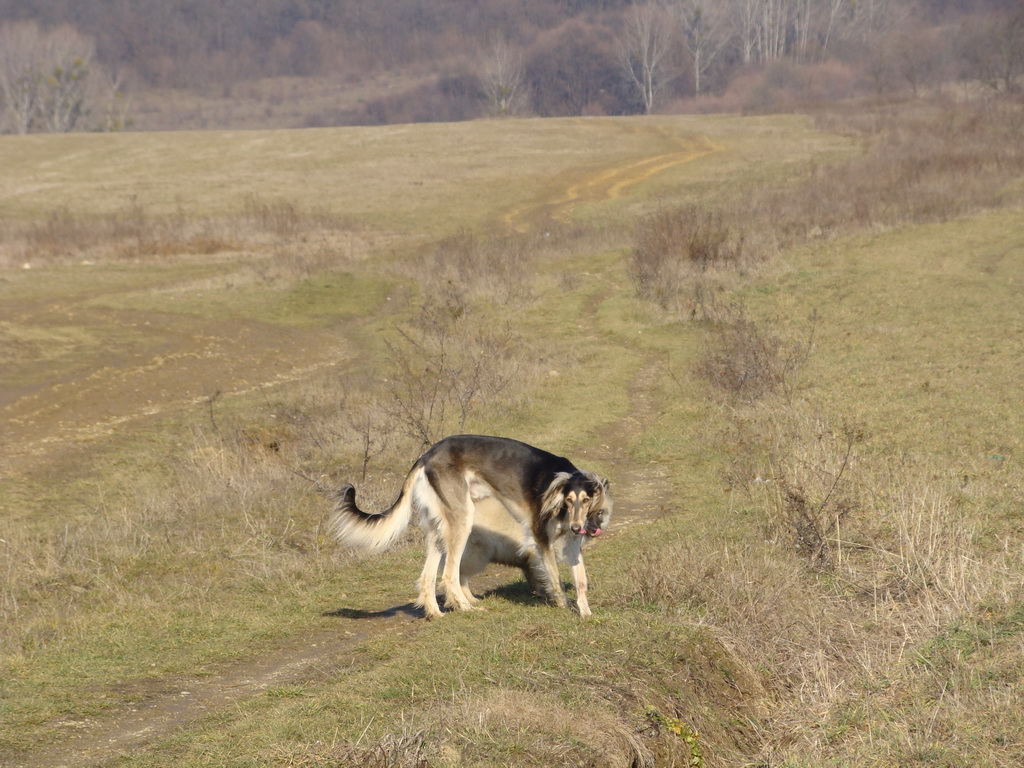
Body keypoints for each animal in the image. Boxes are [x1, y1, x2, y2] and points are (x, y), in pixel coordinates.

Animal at [331, 436, 610, 622]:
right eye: (569, 500)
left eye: (587, 500)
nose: (579, 527)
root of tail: (426, 456)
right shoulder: (542, 541)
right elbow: (555, 579)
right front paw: (563, 606)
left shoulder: (573, 545)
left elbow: (581, 581)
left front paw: (586, 612)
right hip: (462, 519)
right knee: (449, 575)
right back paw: (466, 607)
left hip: (439, 528)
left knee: (428, 576)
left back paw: (436, 613)